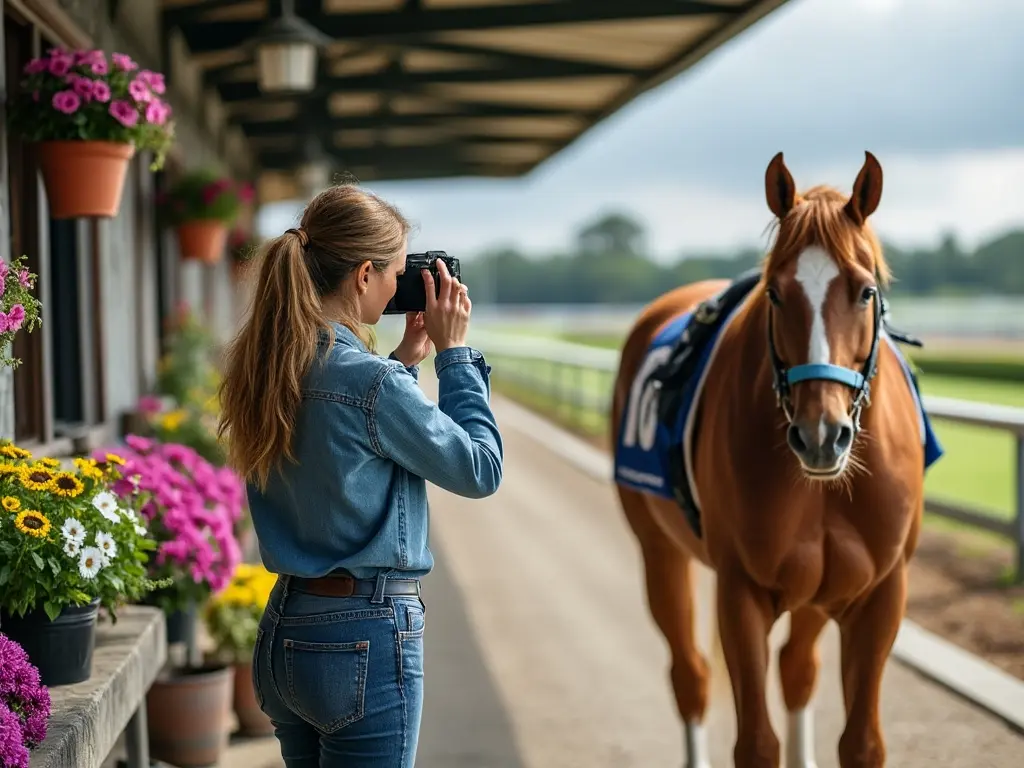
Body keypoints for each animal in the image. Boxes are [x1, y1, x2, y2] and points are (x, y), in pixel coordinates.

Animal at [610, 151, 937, 768]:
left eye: (864, 291)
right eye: (777, 294)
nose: (820, 435)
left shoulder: (882, 594)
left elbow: (861, 743)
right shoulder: (740, 593)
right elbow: (757, 743)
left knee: (797, 669)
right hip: (658, 548)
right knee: (690, 675)